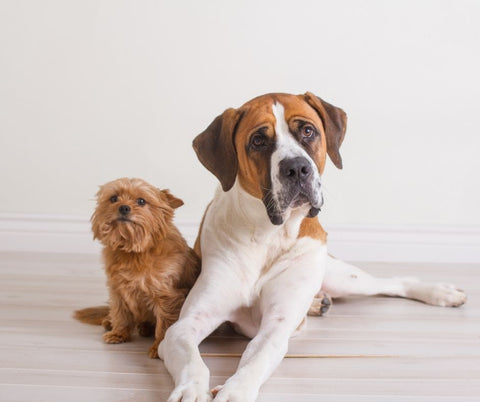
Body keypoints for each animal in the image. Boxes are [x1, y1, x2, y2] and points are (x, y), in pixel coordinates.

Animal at [72, 178, 199, 358]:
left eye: (141, 201)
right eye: (113, 198)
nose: (124, 207)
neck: (133, 251)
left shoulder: (167, 297)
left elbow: (164, 324)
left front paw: (159, 347)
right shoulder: (117, 290)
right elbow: (121, 314)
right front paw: (119, 333)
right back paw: (110, 322)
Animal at [159, 92, 466, 402]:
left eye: (307, 131)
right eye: (258, 140)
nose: (296, 167)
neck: (269, 234)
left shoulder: (276, 327)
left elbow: (256, 359)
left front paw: (235, 392)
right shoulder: (185, 325)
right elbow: (192, 359)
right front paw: (191, 390)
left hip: (342, 277)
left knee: (393, 281)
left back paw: (440, 292)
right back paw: (320, 303)